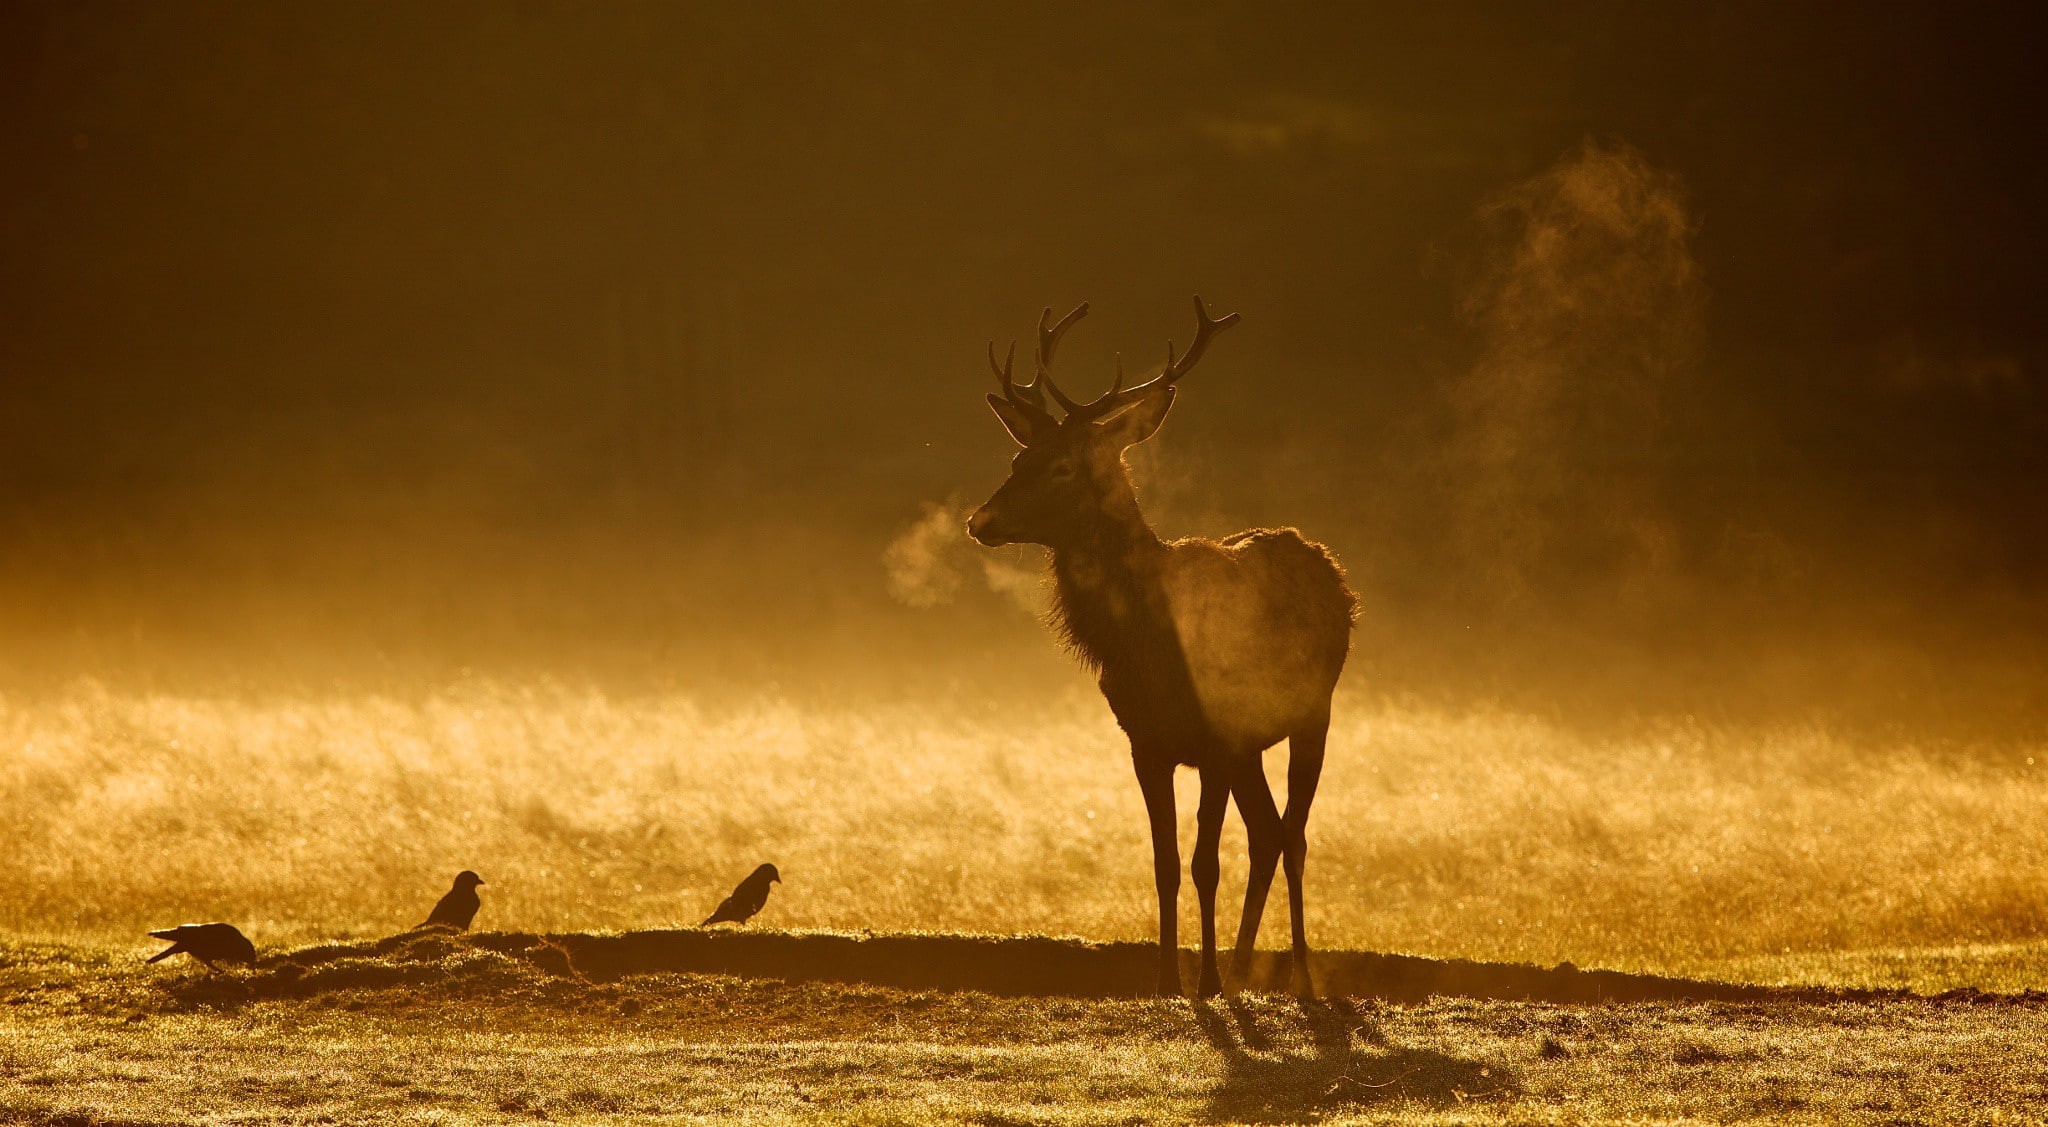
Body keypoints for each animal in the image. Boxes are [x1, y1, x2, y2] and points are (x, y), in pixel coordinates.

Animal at [966, 297, 1356, 997]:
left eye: (1063, 465)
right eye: (1017, 460)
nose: (979, 521)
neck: (1148, 647)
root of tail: (1326, 564)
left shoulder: (1216, 742)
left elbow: (1205, 862)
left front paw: (1204, 985)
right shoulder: (1146, 742)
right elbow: (1165, 863)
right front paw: (1170, 980)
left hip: (1314, 713)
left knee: (1294, 836)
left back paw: (1298, 980)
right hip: (1253, 744)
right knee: (1266, 834)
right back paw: (1243, 970)